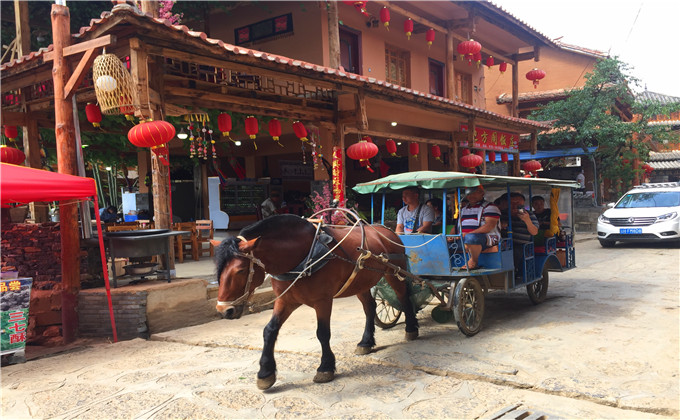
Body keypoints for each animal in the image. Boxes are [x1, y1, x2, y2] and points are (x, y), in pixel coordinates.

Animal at [215, 215, 418, 388]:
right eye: (219, 270)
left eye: (240, 270)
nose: (225, 310)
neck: (302, 255)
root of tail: (387, 231)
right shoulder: (286, 300)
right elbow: (269, 331)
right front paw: (265, 372)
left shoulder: (323, 301)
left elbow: (322, 333)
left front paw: (325, 368)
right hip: (360, 282)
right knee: (370, 307)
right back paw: (366, 342)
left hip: (394, 273)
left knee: (403, 298)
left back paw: (411, 329)